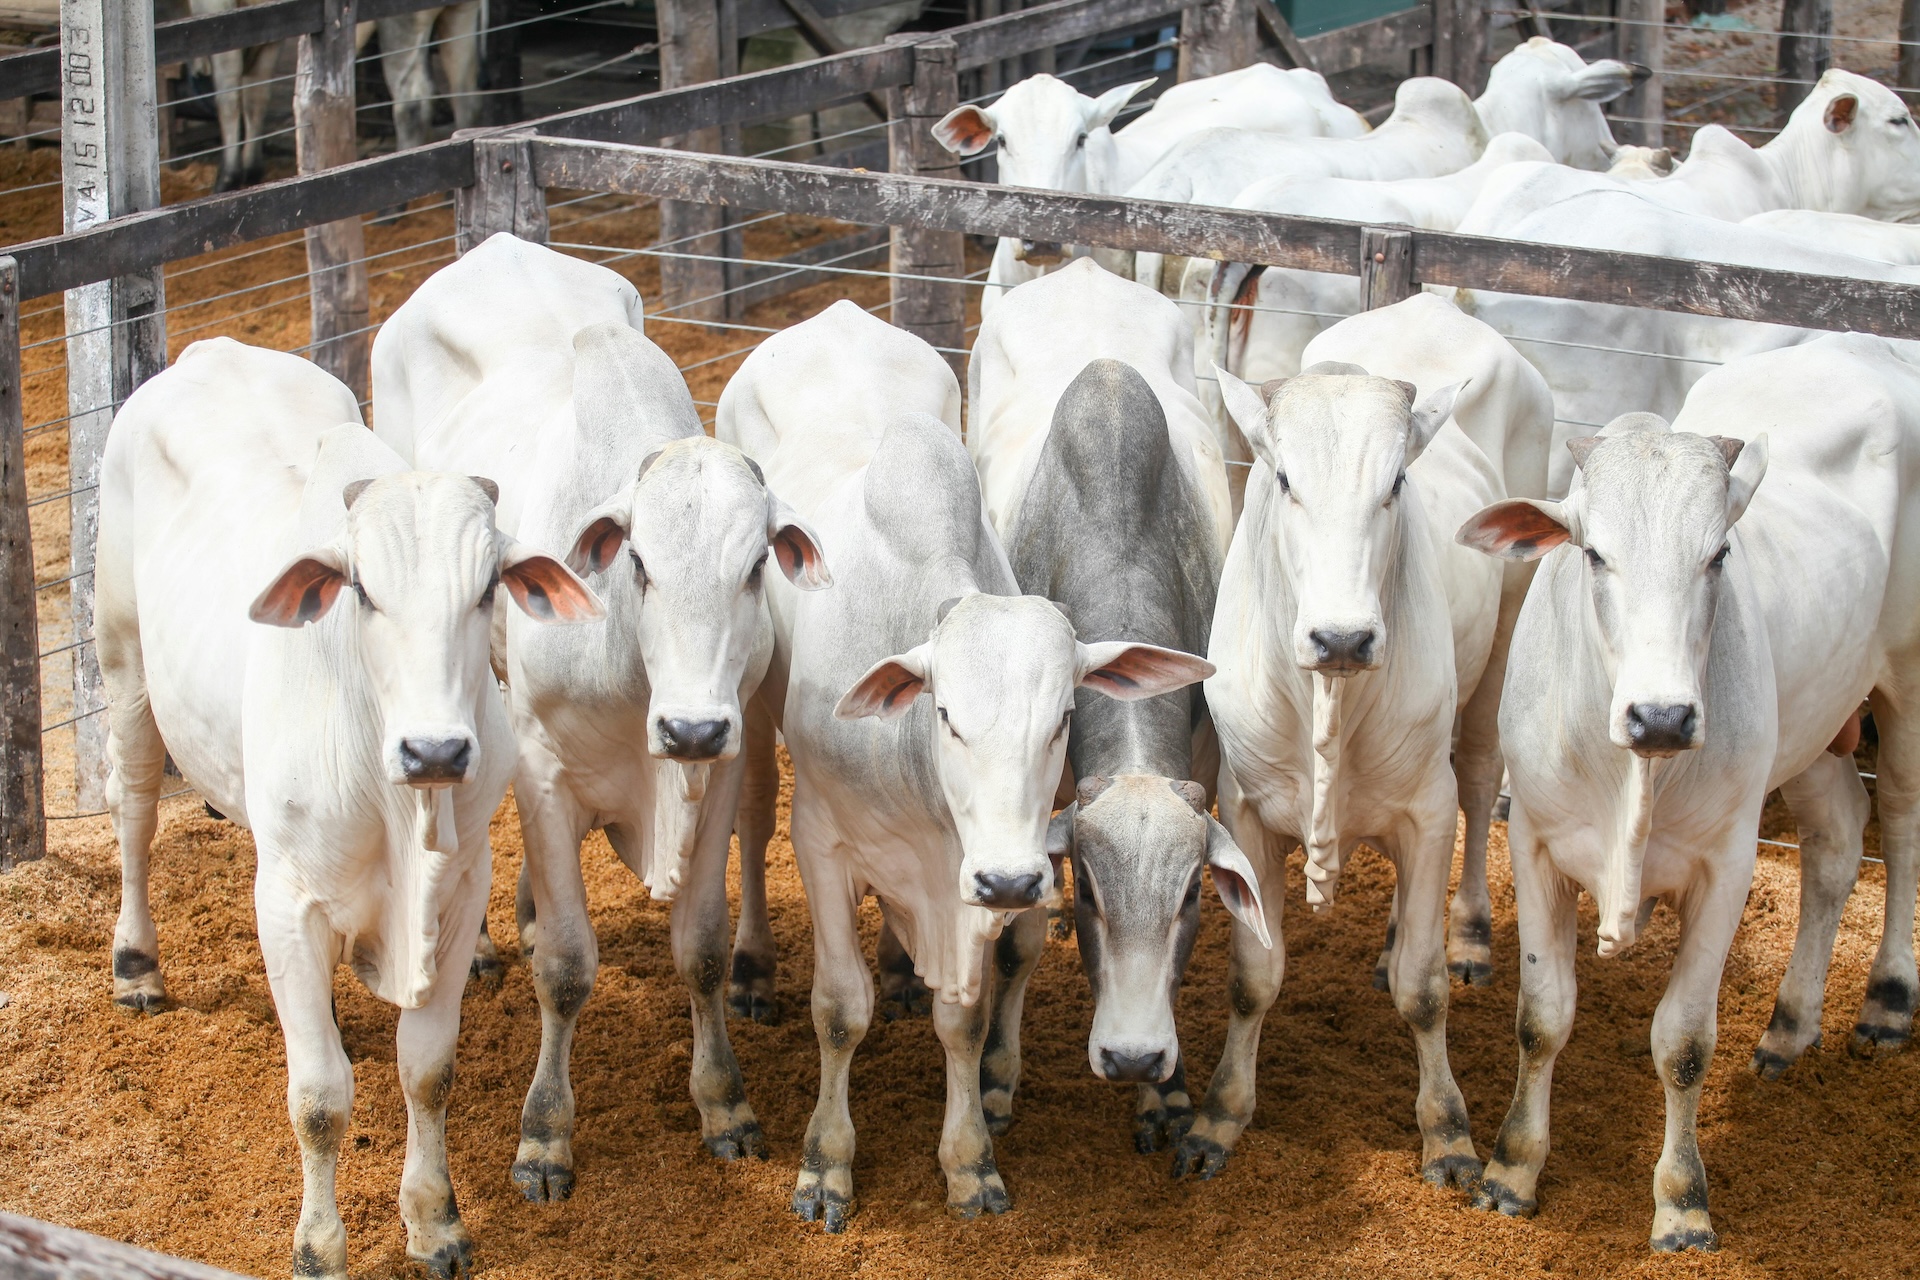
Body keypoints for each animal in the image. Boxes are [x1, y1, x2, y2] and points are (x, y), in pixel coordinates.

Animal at [96, 337, 601, 1277]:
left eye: (488, 590)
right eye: (362, 590)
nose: (435, 751)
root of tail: (209, 347)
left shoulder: (462, 887)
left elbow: (427, 1070)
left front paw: (435, 1222)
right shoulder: (286, 898)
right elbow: (321, 1098)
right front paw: (319, 1247)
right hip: (123, 665)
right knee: (135, 809)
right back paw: (136, 965)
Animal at [370, 233, 828, 1199]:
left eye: (754, 568)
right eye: (640, 564)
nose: (689, 727)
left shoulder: (719, 768)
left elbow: (700, 944)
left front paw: (724, 1104)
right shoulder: (545, 772)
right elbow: (567, 966)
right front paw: (544, 1136)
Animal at [717, 299, 1211, 1227]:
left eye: (1062, 720)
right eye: (945, 715)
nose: (1012, 881)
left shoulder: (973, 875)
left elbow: (966, 1018)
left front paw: (970, 1160)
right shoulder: (824, 843)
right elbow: (839, 1010)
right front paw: (825, 1163)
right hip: (755, 708)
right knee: (751, 817)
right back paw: (752, 971)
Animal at [1195, 358, 1495, 1187]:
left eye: (1396, 481)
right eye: (1284, 477)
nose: (1342, 638)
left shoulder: (1429, 812)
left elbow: (1423, 990)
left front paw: (1447, 1129)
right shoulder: (1244, 811)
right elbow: (1254, 976)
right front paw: (1221, 1114)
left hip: (1487, 702)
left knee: (1483, 788)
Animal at [1455, 334, 1920, 1249]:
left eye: (1718, 554)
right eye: (1593, 552)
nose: (1662, 715)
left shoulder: (1727, 865)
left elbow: (1684, 1042)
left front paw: (1681, 1201)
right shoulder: (1533, 843)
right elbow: (1542, 1016)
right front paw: (1512, 1169)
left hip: (1910, 682)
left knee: (1904, 822)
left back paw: (1886, 1001)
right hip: (1813, 730)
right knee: (1837, 843)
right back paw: (1790, 1026)